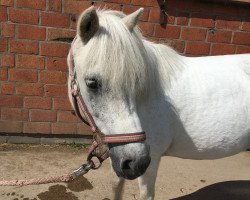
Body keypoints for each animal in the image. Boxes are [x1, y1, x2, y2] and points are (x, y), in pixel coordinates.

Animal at [68, 6, 250, 200]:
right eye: (92, 83)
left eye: (136, 81)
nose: (136, 162)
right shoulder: (119, 156)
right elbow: (116, 186)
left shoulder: (152, 159)